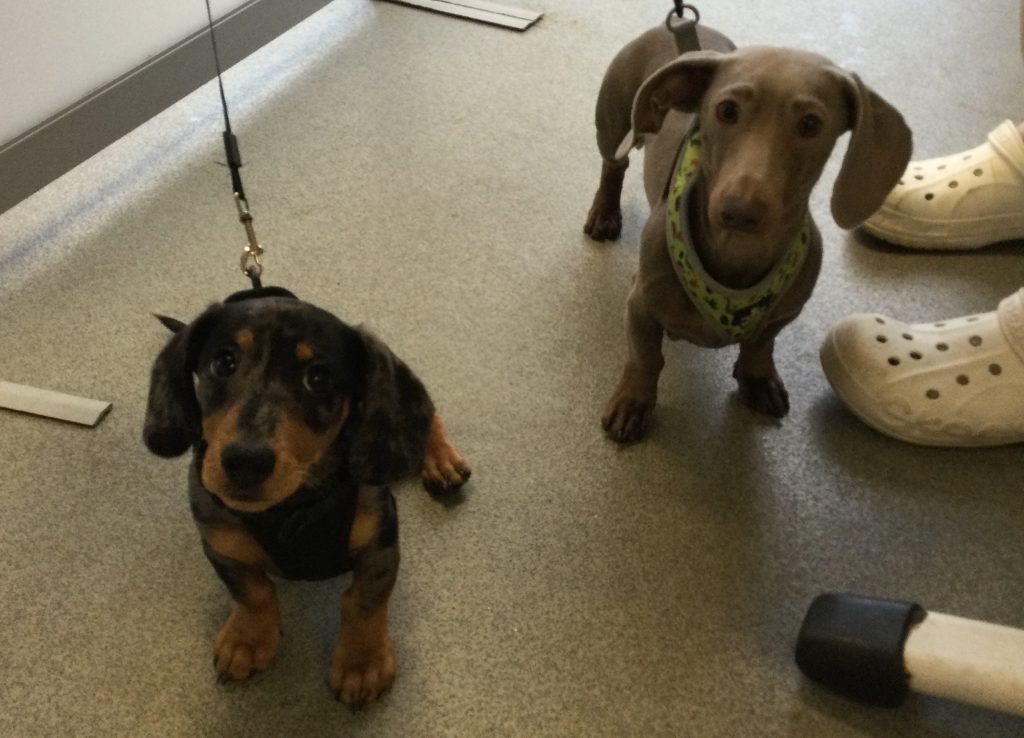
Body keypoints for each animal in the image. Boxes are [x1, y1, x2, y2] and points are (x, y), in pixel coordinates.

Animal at [144, 284, 471, 704]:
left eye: (318, 377)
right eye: (224, 363)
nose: (245, 461)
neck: (291, 508)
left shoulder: (380, 545)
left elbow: (364, 603)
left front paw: (361, 664)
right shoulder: (221, 544)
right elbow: (252, 591)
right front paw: (247, 640)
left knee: (431, 416)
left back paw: (441, 459)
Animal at [585, 23, 913, 440]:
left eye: (810, 124)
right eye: (726, 110)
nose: (739, 212)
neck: (735, 255)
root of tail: (676, 27)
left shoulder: (783, 314)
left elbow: (760, 346)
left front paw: (757, 379)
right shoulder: (640, 305)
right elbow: (645, 359)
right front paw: (633, 402)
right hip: (613, 124)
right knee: (614, 165)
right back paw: (604, 212)